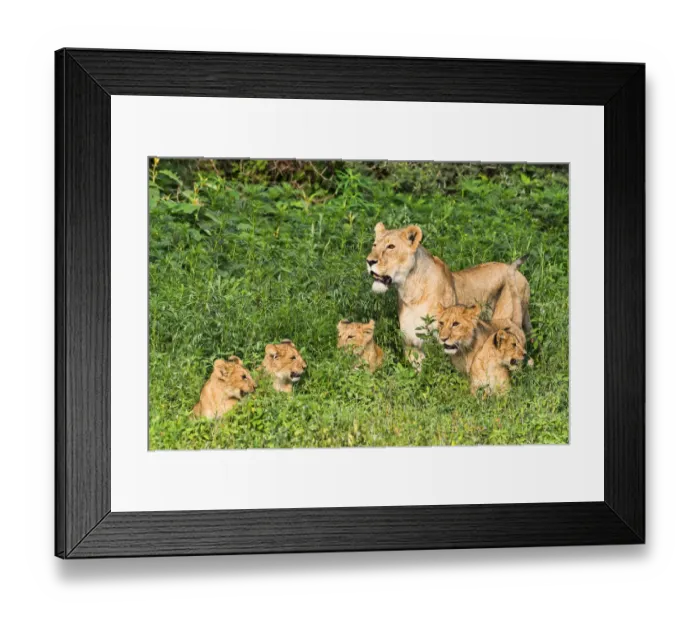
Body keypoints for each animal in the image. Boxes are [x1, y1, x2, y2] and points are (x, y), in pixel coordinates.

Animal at [366, 223, 531, 367]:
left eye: (391, 247)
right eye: (374, 245)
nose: (369, 261)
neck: (410, 291)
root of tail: (521, 275)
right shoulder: (411, 344)